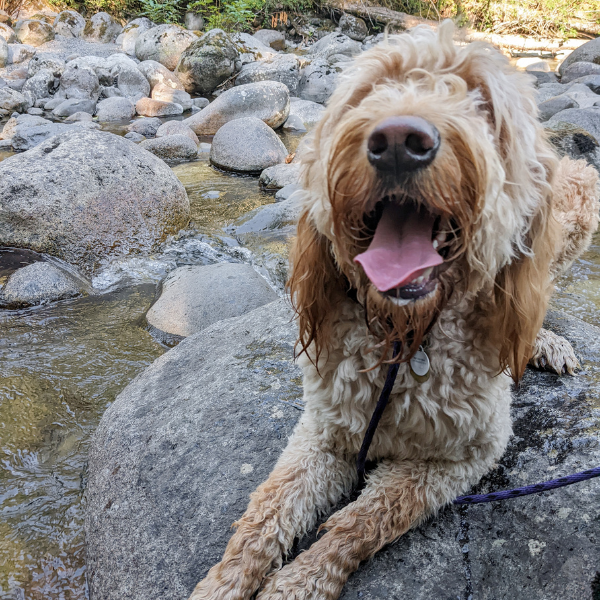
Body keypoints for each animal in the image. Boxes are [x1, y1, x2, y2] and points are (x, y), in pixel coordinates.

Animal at [190, 21, 596, 596]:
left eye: (480, 99)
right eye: (370, 91)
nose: (400, 141)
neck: (404, 340)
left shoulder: (464, 455)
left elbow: (367, 518)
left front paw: (300, 580)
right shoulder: (323, 430)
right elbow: (266, 509)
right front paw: (223, 582)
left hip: (579, 192)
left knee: (539, 288)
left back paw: (539, 339)